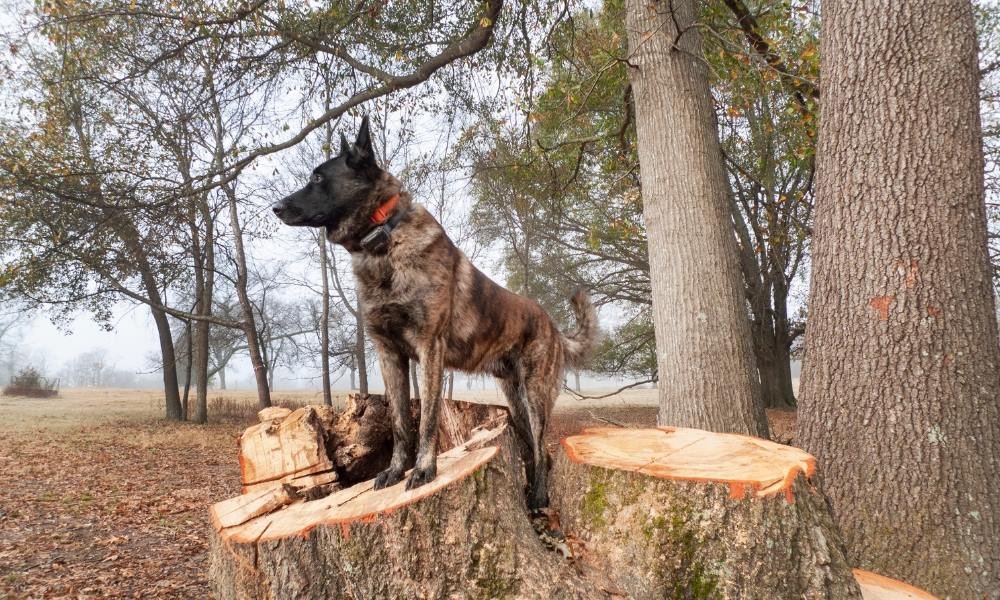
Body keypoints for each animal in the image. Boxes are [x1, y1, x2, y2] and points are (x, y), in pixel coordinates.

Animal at [272, 116, 592, 506]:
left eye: (318, 178)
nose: (276, 207)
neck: (383, 240)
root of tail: (554, 327)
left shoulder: (429, 348)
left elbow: (426, 418)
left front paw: (424, 469)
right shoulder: (389, 354)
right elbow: (399, 423)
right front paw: (395, 471)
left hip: (535, 396)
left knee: (542, 446)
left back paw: (539, 499)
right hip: (514, 398)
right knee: (535, 448)